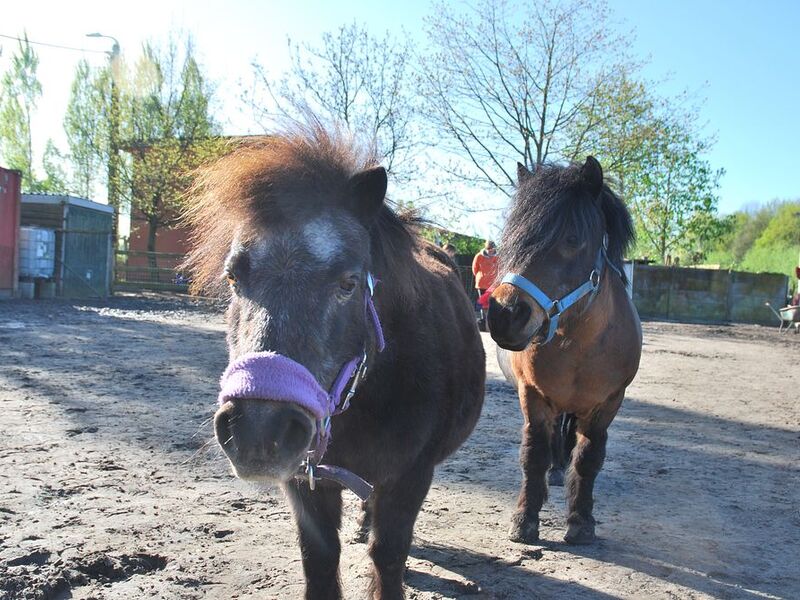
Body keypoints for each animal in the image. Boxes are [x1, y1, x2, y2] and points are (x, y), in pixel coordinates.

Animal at [184, 125, 485, 599]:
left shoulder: (412, 475)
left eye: (348, 283)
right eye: (233, 278)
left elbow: (388, 554)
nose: (258, 431)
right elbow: (321, 558)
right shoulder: (305, 480)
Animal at [487, 156, 641, 545]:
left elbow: (588, 457)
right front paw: (525, 519)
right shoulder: (532, 395)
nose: (505, 314)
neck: (578, 346)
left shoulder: (607, 404)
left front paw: (581, 522)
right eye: (513, 236)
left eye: (572, 239)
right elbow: (533, 454)